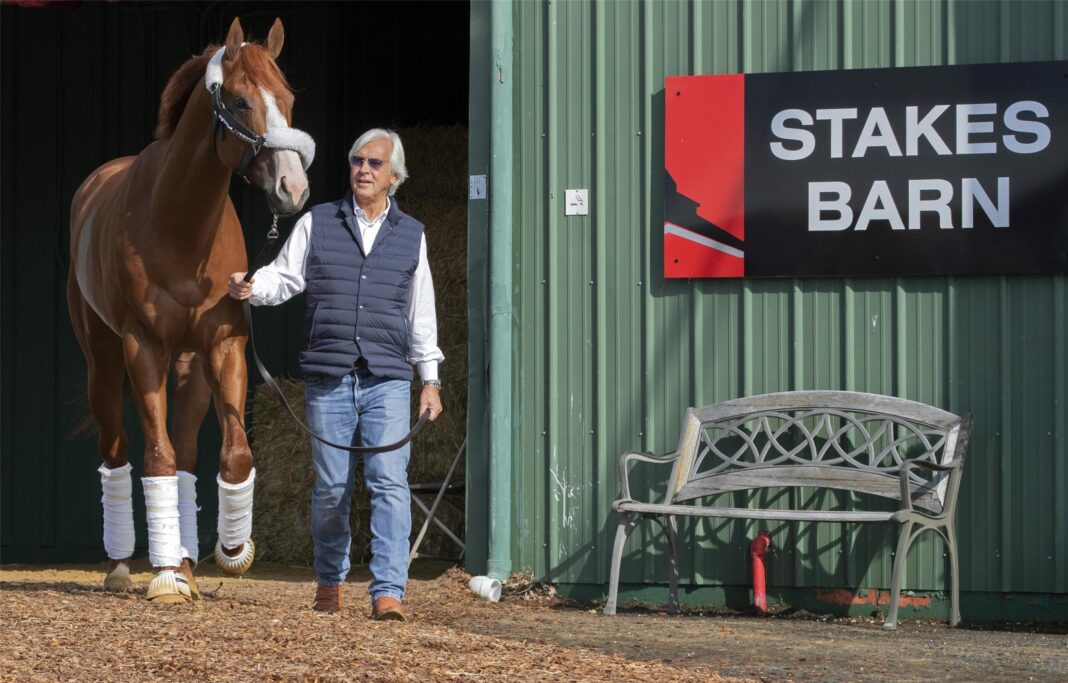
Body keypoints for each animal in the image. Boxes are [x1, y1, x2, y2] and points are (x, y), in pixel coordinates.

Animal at [68, 17, 311, 601]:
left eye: (289, 98)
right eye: (241, 102)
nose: (293, 188)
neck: (178, 224)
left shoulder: (224, 347)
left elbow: (233, 455)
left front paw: (231, 549)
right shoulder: (143, 347)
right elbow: (155, 456)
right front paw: (164, 579)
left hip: (190, 367)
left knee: (184, 454)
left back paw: (183, 557)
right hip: (104, 363)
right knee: (118, 451)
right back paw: (125, 566)